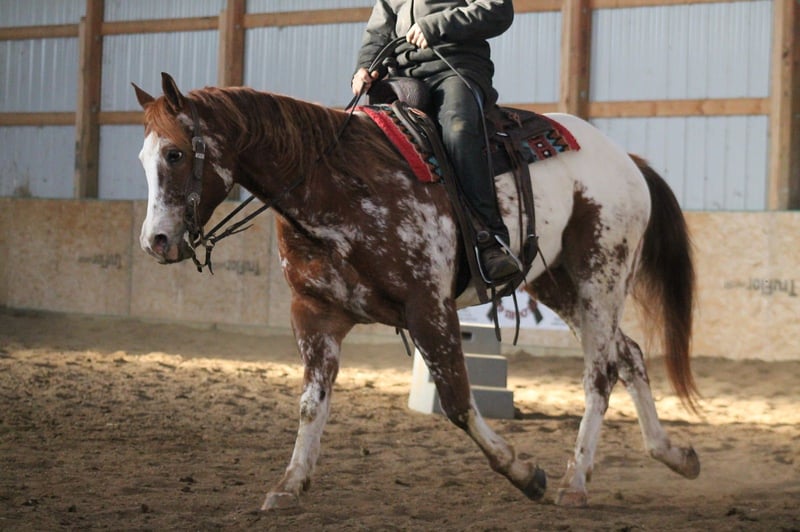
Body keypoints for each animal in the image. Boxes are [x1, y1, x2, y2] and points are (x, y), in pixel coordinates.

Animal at [132, 72, 700, 509]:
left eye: (175, 154)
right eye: (142, 159)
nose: (155, 241)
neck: (336, 185)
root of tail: (626, 160)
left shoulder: (428, 306)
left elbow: (456, 400)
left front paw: (523, 472)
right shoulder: (315, 314)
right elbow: (312, 403)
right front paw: (290, 485)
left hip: (600, 276)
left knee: (600, 371)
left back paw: (574, 480)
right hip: (556, 282)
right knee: (629, 355)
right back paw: (674, 455)